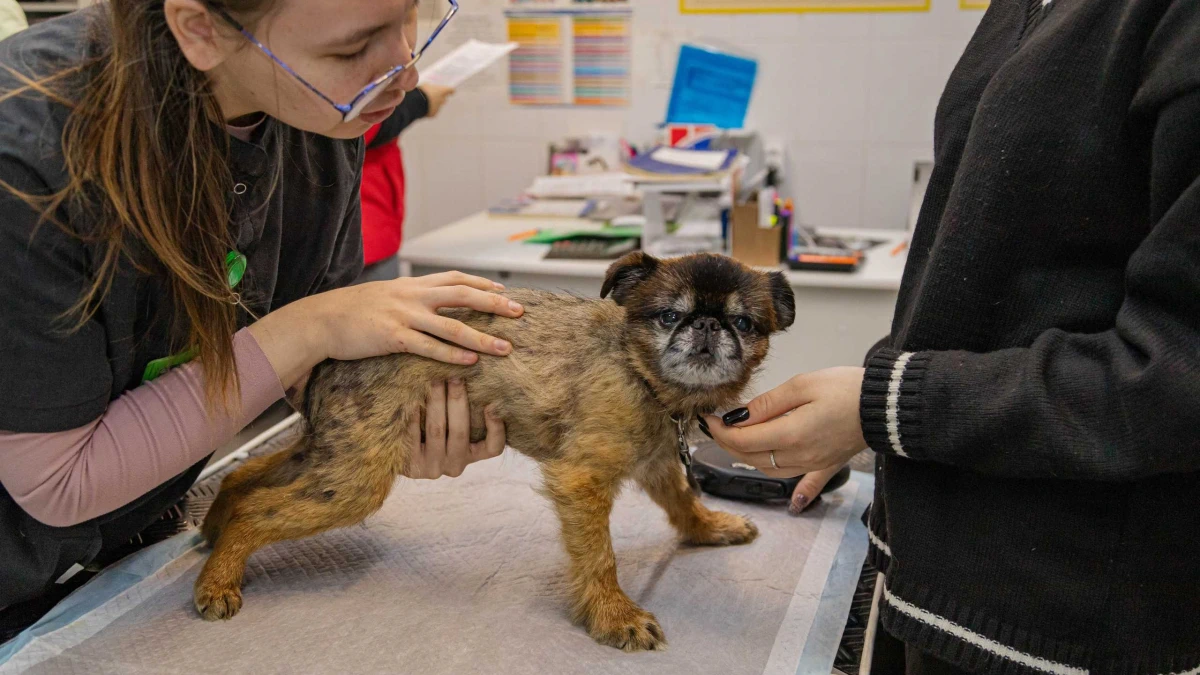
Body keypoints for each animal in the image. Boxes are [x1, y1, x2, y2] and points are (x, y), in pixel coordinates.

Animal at [196, 249, 796, 648]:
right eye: (669, 315)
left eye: (744, 323)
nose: (709, 325)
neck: (638, 371)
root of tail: (329, 360)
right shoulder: (581, 480)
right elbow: (600, 557)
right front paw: (613, 614)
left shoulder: (656, 463)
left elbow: (682, 501)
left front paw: (709, 527)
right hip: (352, 479)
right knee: (258, 508)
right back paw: (220, 576)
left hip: (331, 453)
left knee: (243, 477)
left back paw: (214, 531)